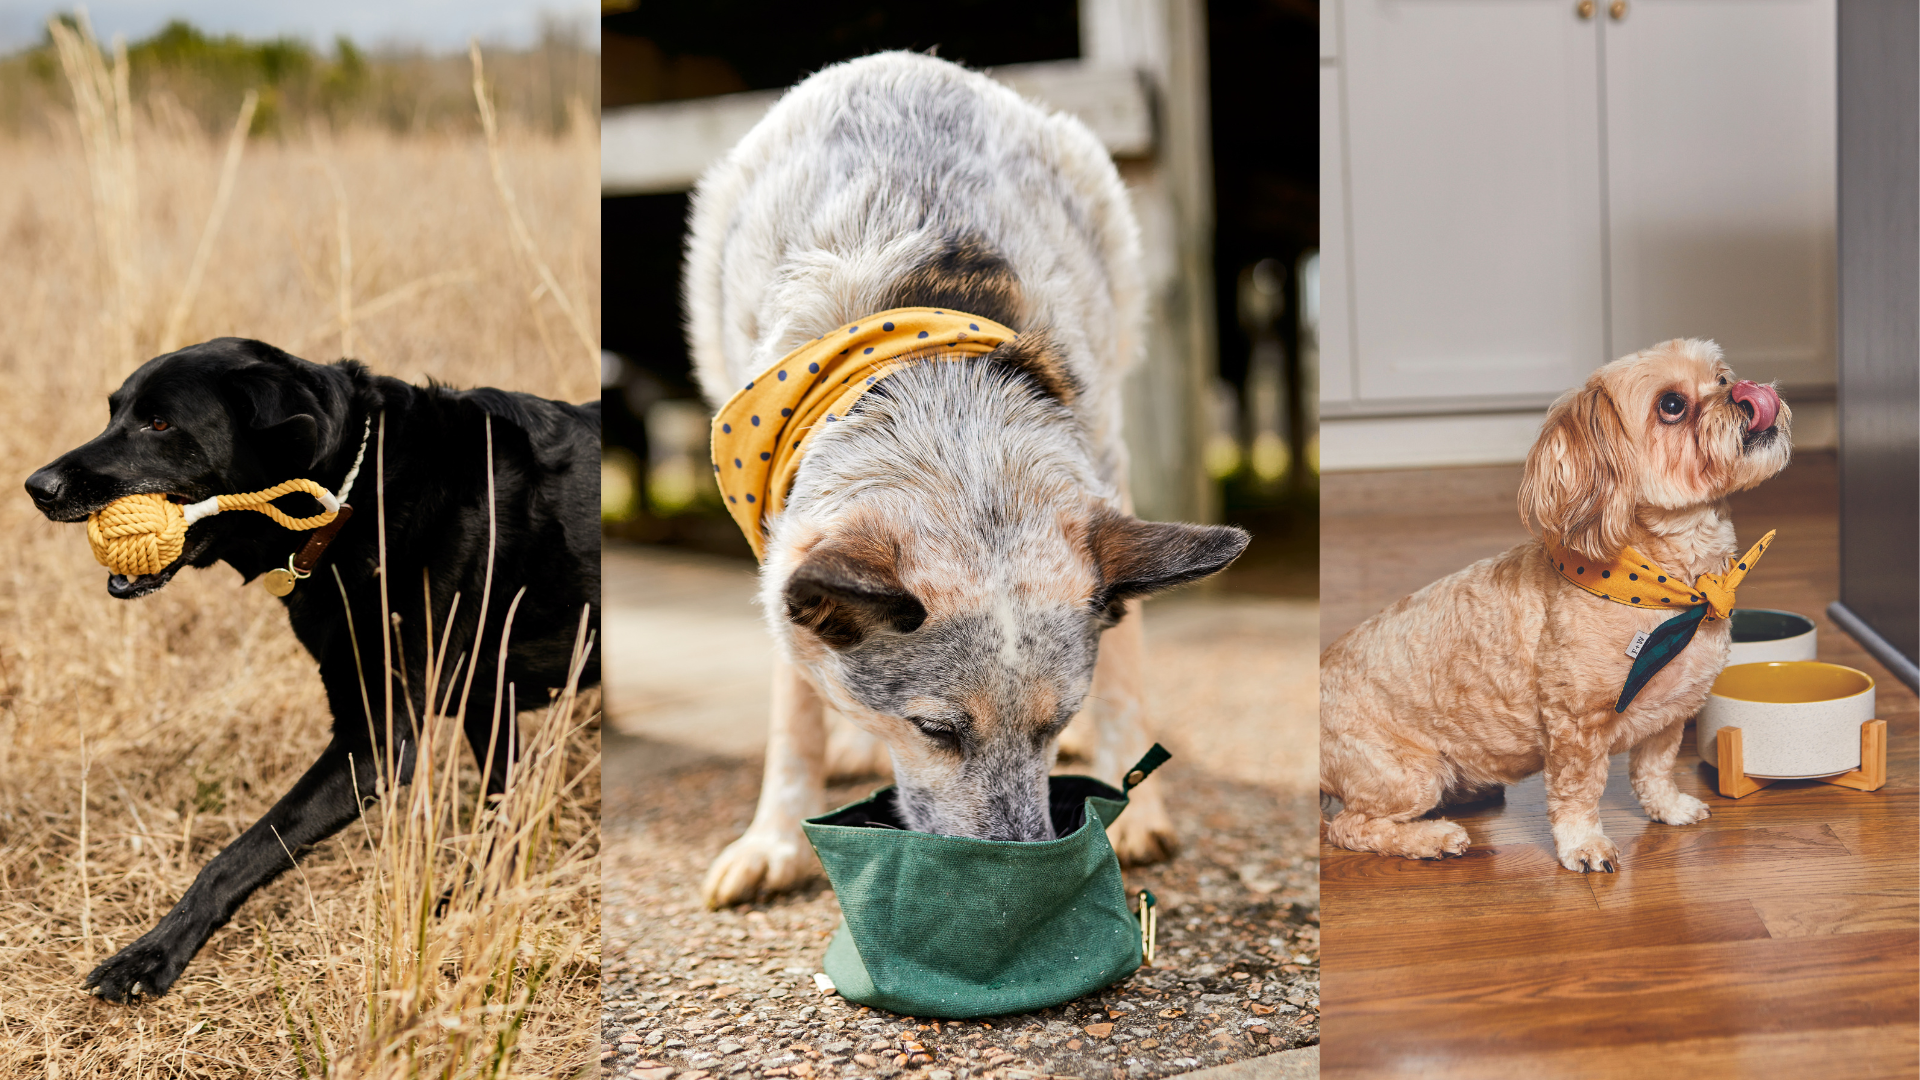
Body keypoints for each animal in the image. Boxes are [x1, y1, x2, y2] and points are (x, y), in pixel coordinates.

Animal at [20, 338, 591, 999]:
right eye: (114, 412)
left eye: (159, 424)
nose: (36, 486)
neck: (356, 496)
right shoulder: (485, 701)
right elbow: (507, 808)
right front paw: (479, 897)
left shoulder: (375, 744)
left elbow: (238, 853)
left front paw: (151, 955)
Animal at [687, 52, 1244, 907]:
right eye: (937, 731)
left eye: (1054, 723)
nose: (1022, 879)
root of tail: (905, 63)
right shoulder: (778, 532)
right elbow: (795, 713)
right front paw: (775, 838)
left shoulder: (1105, 472)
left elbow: (1123, 672)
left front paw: (1136, 803)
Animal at [1320, 340, 1781, 868]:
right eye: (1671, 405)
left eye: (1723, 377)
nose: (1748, 394)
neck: (1663, 588)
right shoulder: (1575, 727)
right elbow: (1577, 793)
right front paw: (1585, 846)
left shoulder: (1670, 715)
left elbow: (1654, 770)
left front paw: (1671, 808)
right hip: (1408, 774)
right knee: (1350, 827)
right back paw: (1432, 838)